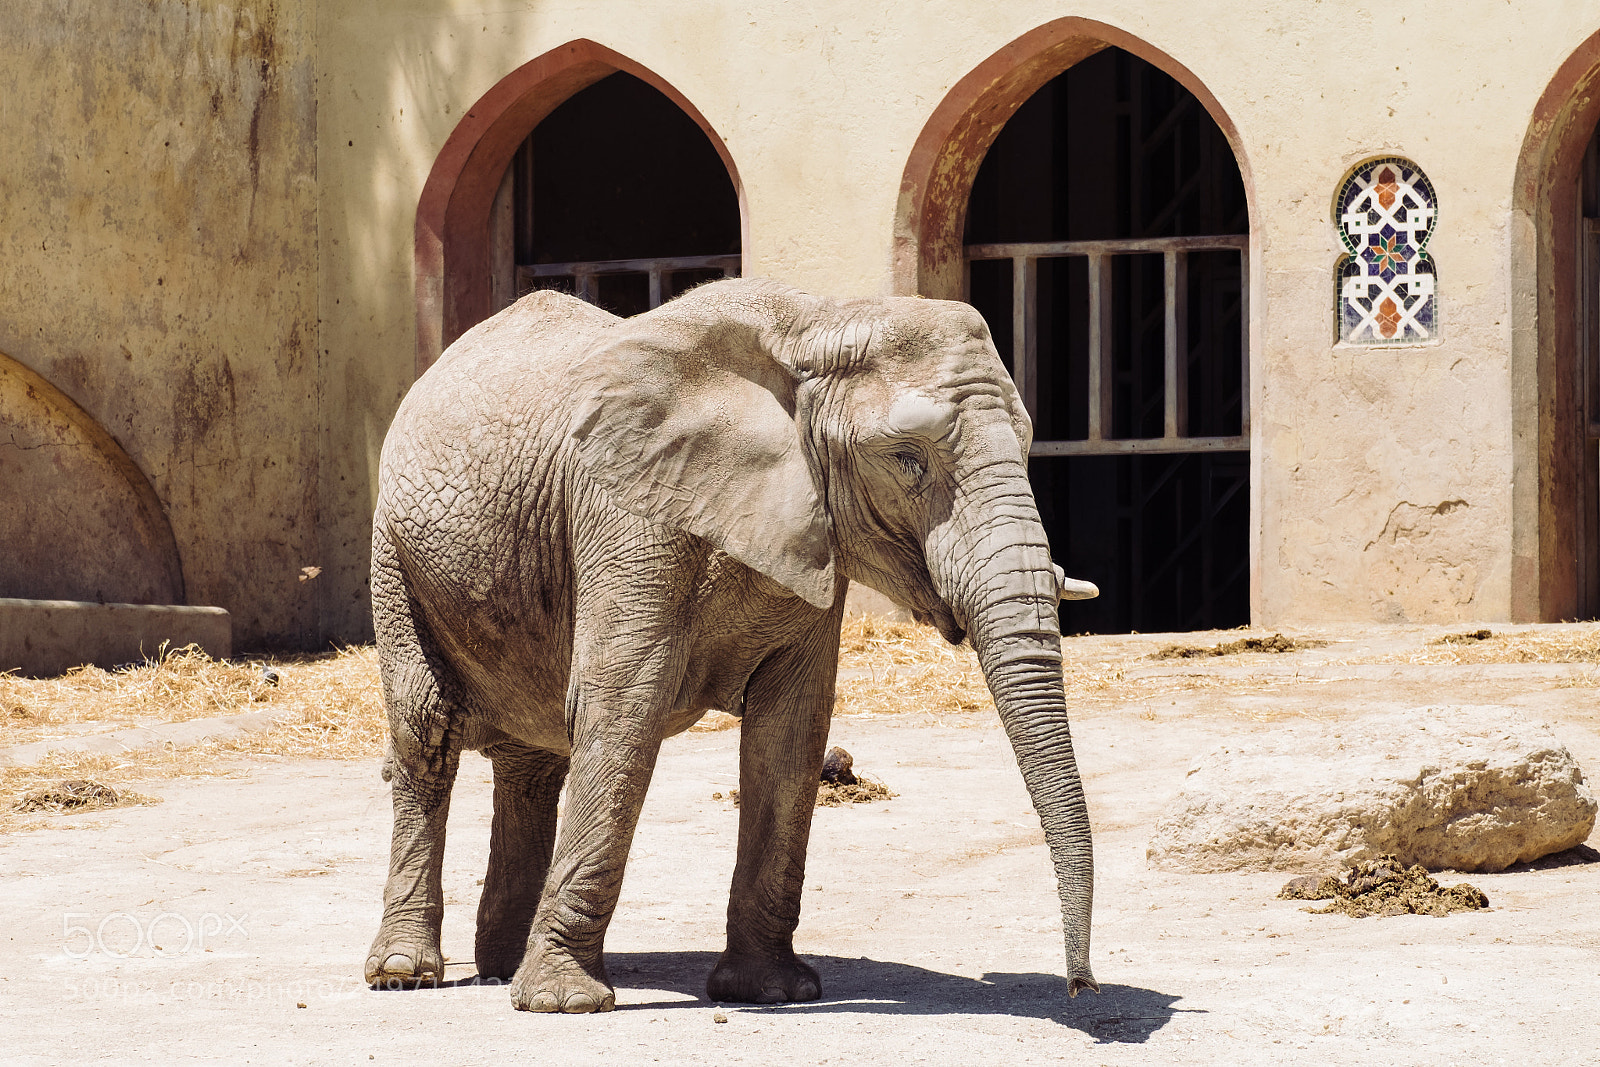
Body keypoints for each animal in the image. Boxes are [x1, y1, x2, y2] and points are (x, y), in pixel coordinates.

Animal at [364, 278, 1100, 1012]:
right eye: (907, 460)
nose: (1079, 986)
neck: (817, 324)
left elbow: (789, 732)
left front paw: (772, 991)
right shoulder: (628, 510)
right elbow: (623, 706)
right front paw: (563, 1003)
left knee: (533, 762)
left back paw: (499, 966)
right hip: (395, 563)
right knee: (427, 738)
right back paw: (406, 973)